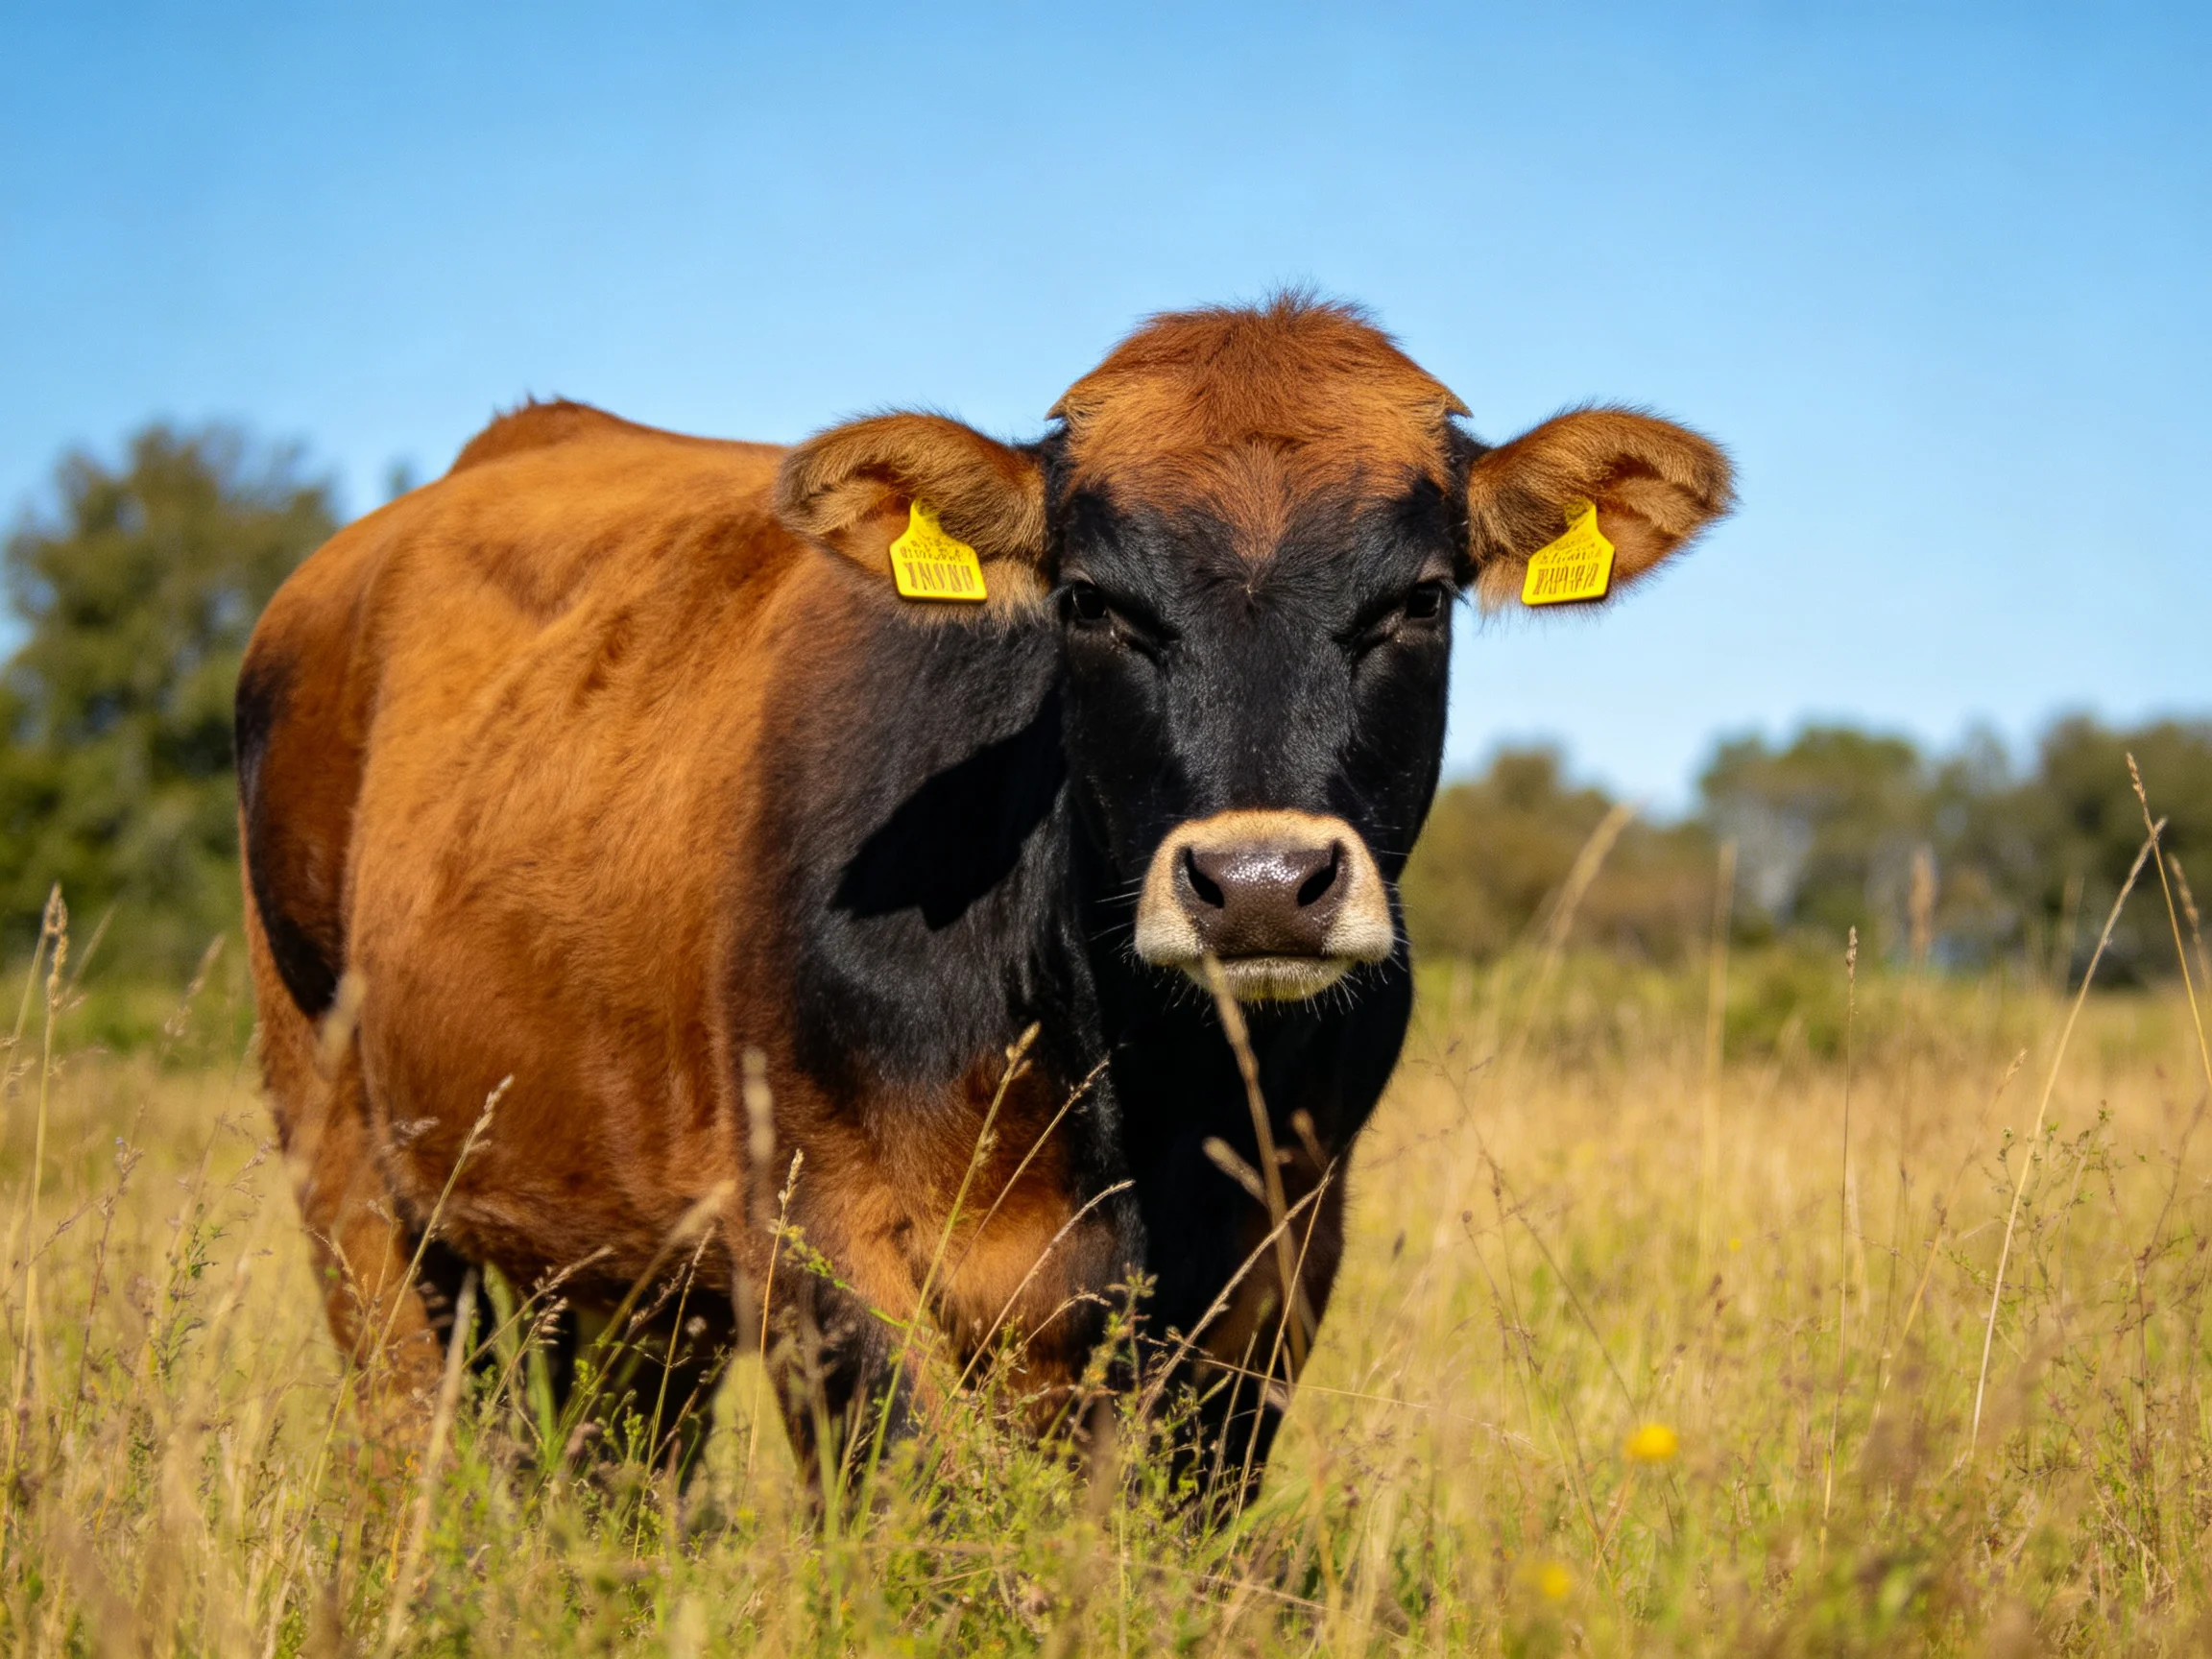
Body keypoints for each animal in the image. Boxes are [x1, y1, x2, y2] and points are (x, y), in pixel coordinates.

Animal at [236, 295, 1729, 1509]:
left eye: (1418, 600)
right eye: (1090, 601)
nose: (1259, 886)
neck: (1137, 1080)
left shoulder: (1275, 1259)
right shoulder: (822, 1239)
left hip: (606, 1271)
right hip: (342, 1153)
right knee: (409, 1430)